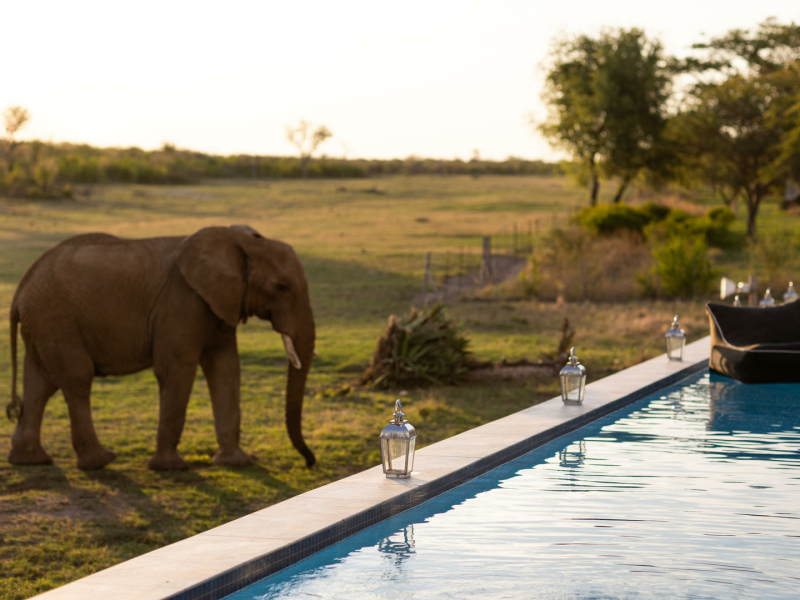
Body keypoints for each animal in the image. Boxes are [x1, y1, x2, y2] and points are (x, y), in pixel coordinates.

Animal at [8, 224, 318, 468]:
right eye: (281, 287)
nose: (310, 462)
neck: (242, 241)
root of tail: (21, 288)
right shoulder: (181, 302)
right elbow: (177, 369)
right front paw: (170, 467)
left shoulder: (219, 304)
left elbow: (226, 368)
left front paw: (238, 462)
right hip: (56, 320)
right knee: (77, 378)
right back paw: (100, 461)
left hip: (44, 324)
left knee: (39, 385)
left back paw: (31, 460)